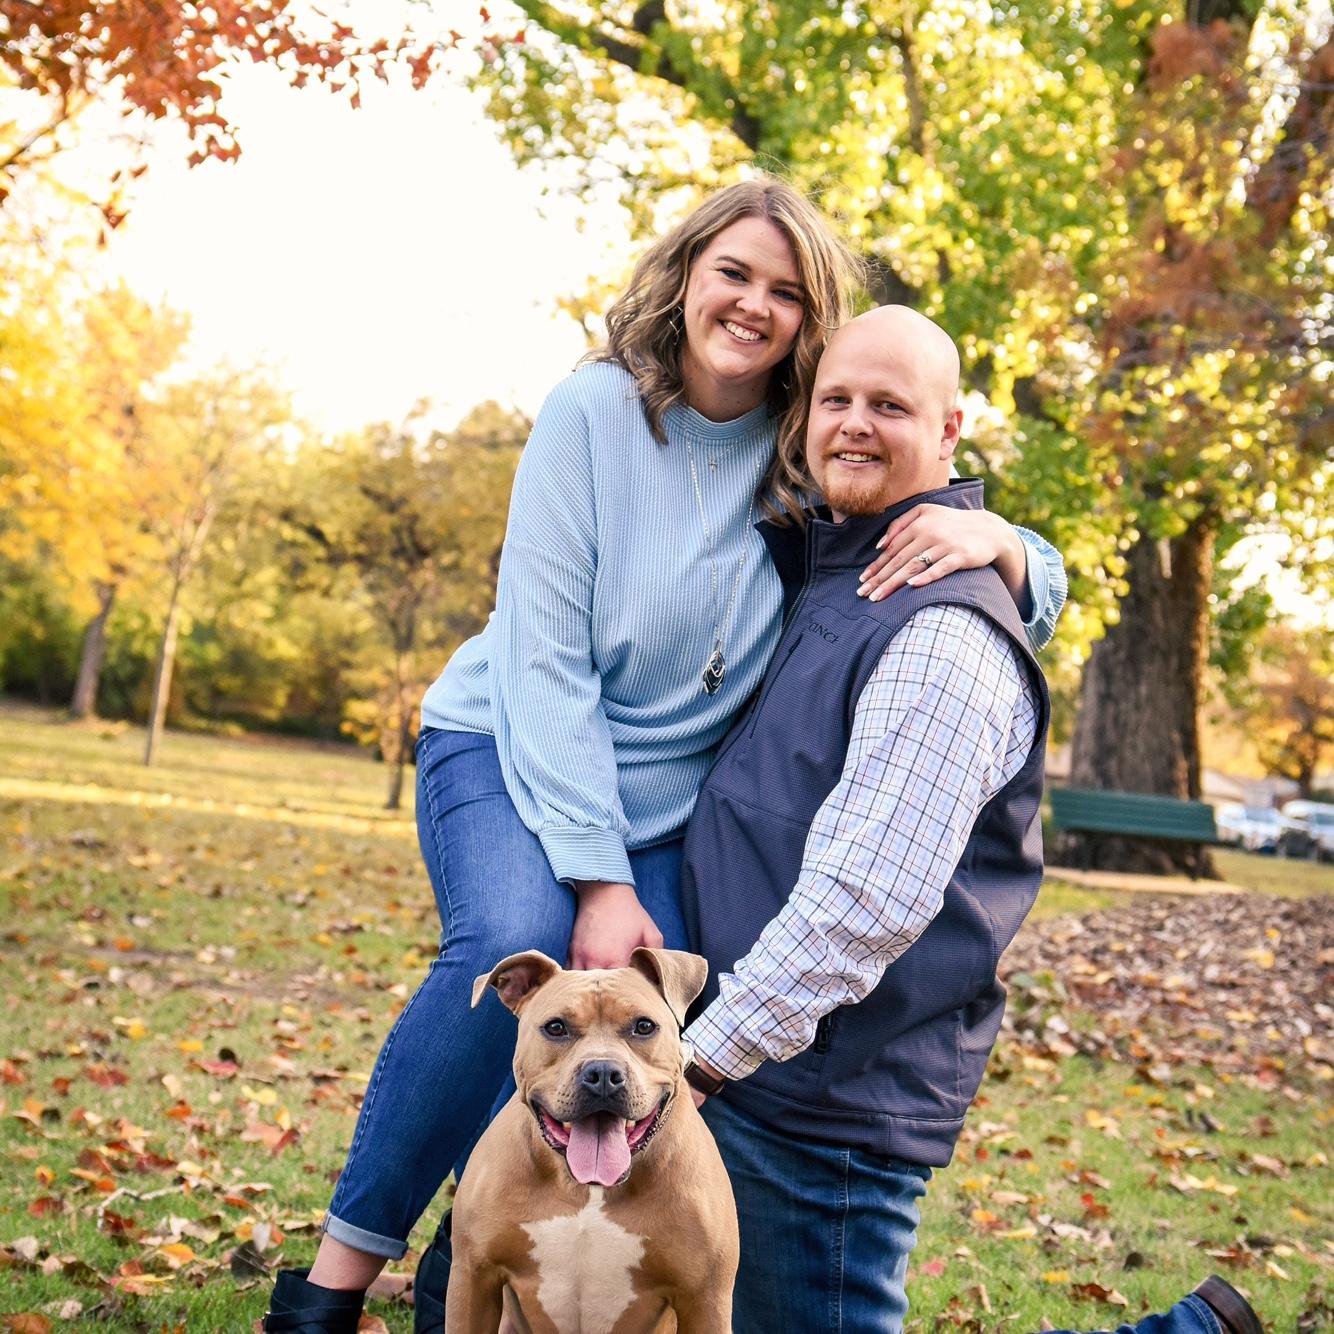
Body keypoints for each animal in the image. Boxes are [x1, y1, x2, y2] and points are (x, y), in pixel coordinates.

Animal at [446, 947, 739, 1333]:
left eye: (644, 1026)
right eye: (556, 1027)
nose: (602, 1073)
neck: (587, 1189)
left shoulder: (706, 1301)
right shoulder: (473, 1277)